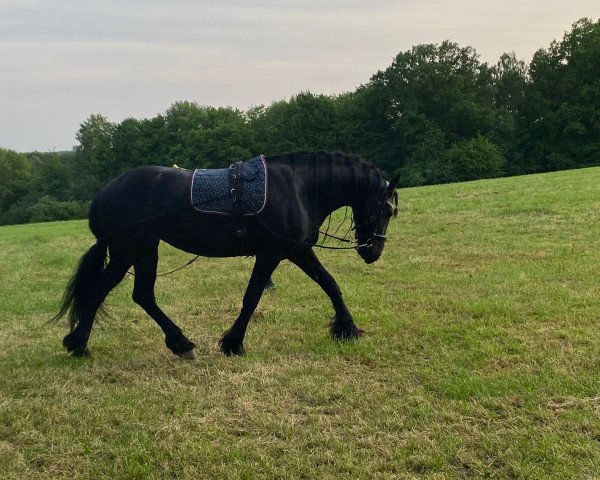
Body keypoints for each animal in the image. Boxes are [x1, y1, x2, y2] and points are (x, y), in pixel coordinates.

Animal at [55, 152, 398, 358]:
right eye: (387, 209)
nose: (374, 251)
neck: (298, 188)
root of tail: (104, 193)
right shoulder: (279, 252)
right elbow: (256, 297)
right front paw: (234, 342)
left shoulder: (293, 251)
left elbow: (328, 285)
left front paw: (346, 328)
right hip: (134, 249)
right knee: (119, 293)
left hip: (136, 251)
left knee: (125, 293)